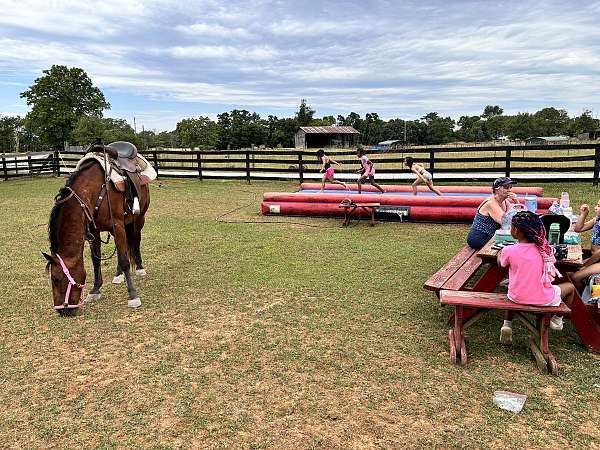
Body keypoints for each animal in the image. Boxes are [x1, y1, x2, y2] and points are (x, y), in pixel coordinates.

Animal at [42, 145, 150, 312]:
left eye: (56, 278)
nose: (61, 311)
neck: (93, 190)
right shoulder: (94, 231)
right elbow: (96, 260)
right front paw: (95, 290)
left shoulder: (117, 224)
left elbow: (125, 260)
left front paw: (133, 296)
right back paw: (118, 275)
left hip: (138, 219)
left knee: (136, 240)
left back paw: (139, 268)